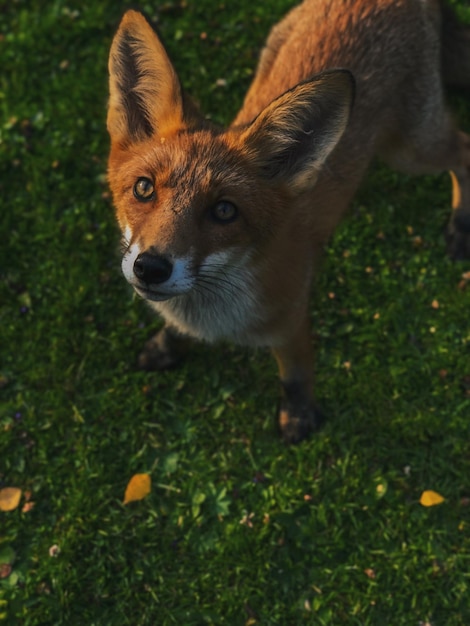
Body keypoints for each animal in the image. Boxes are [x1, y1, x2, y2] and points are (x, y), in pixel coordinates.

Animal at [108, 0, 470, 442]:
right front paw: (166, 347)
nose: (151, 267)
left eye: (224, 210)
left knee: (464, 150)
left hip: (410, 150)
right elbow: (175, 333)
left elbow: (296, 376)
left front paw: (298, 416)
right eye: (144, 189)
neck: (214, 316)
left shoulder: (292, 320)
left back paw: (461, 224)